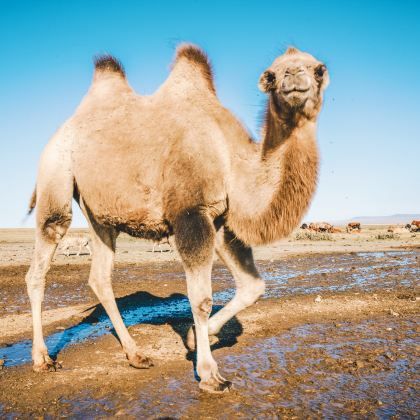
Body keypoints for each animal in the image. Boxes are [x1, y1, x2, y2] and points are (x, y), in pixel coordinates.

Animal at [25, 44, 328, 392]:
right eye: (272, 75)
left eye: (319, 69)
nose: (293, 76)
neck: (230, 158)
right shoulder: (191, 214)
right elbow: (201, 299)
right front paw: (210, 374)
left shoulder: (220, 220)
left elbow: (254, 286)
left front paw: (199, 336)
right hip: (55, 170)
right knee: (45, 250)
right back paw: (42, 359)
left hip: (102, 215)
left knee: (99, 277)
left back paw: (136, 355)